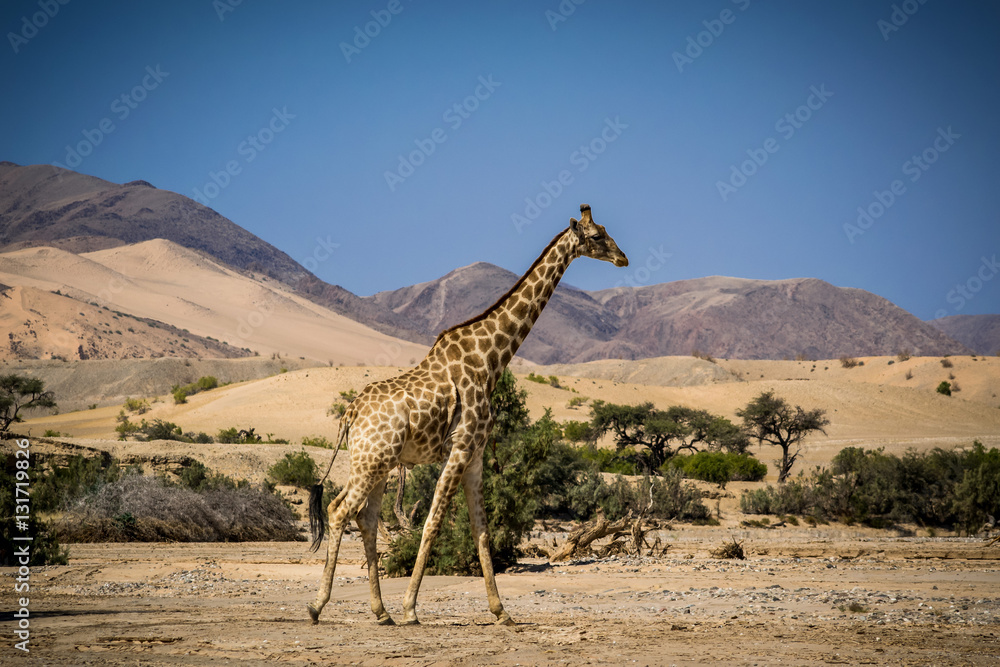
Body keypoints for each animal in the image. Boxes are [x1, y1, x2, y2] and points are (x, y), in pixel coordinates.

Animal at [306, 203, 628, 627]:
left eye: (606, 230)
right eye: (595, 236)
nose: (623, 258)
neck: (490, 359)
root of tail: (350, 413)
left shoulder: (475, 455)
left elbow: (482, 529)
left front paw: (501, 612)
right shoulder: (459, 448)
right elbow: (433, 523)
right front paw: (411, 608)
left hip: (377, 463)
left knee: (365, 519)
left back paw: (380, 612)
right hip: (371, 460)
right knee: (339, 509)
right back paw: (318, 606)